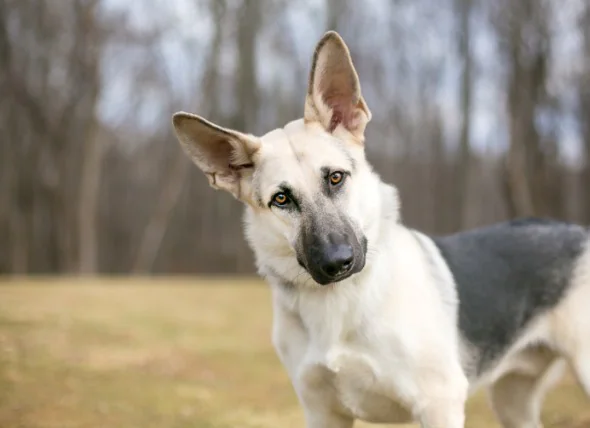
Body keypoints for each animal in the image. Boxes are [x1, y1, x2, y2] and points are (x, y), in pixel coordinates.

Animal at [171, 30, 590, 428]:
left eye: (336, 177)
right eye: (281, 199)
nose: (336, 263)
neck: (339, 304)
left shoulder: (440, 404)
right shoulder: (322, 413)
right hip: (512, 402)